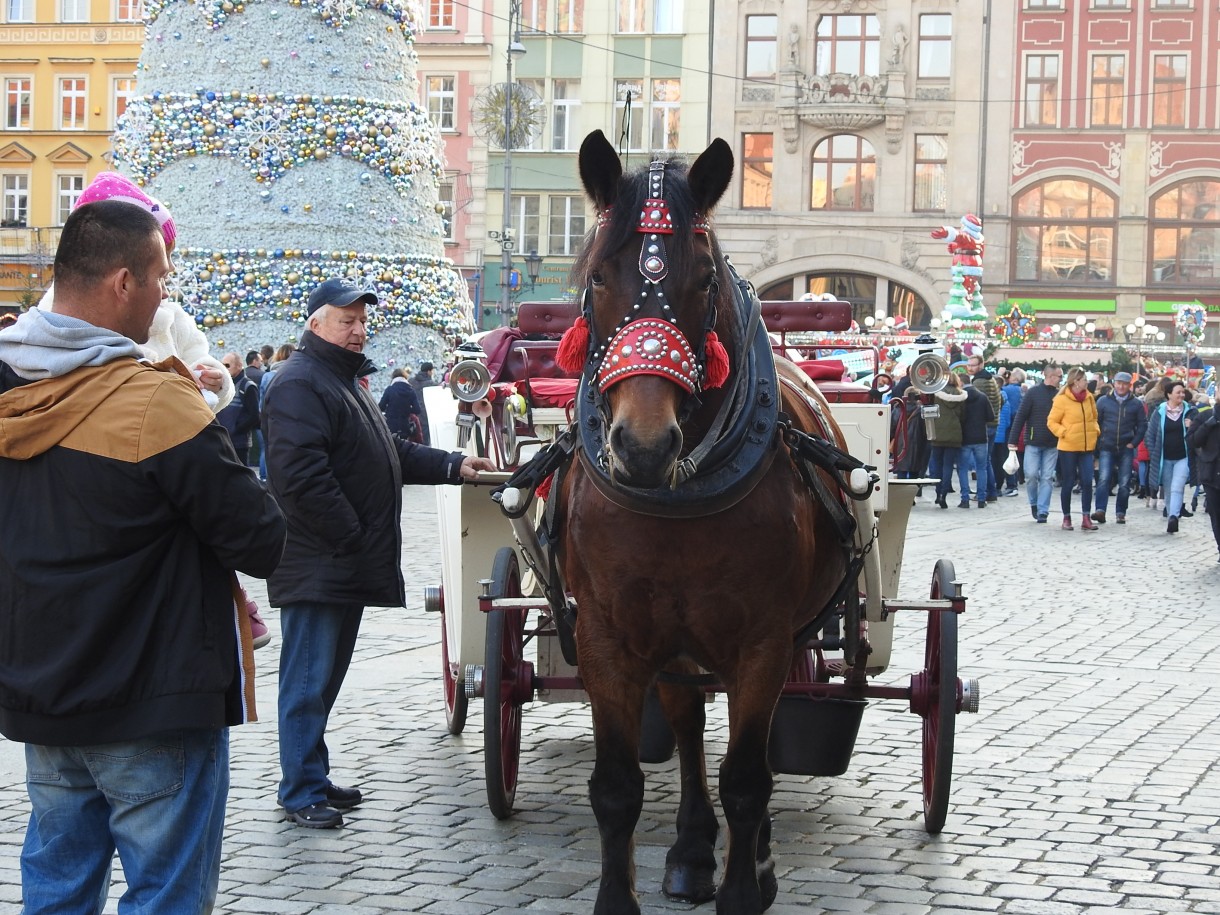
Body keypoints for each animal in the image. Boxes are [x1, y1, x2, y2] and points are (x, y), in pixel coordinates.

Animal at [558, 130, 854, 915]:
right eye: (600, 277)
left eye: (701, 282)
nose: (642, 445)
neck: (676, 507)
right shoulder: (607, 640)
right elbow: (617, 786)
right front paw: (620, 895)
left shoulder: (764, 642)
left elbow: (748, 775)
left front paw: (746, 887)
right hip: (674, 644)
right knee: (689, 725)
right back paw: (691, 850)